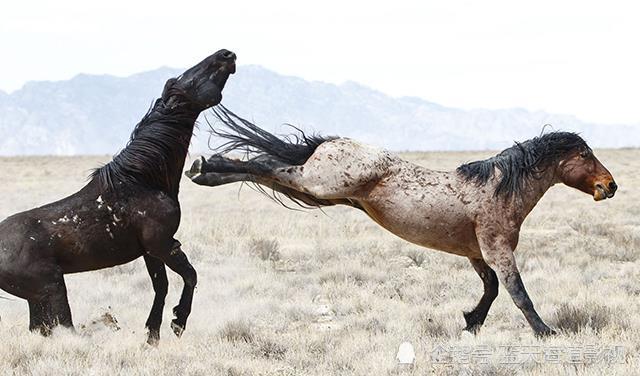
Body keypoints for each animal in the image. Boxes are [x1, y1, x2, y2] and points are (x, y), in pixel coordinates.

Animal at [0, 48, 238, 342]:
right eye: (190, 78)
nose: (226, 54)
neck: (142, 180)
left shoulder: (151, 251)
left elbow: (161, 287)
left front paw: (152, 335)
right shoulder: (163, 244)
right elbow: (190, 276)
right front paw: (178, 322)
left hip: (38, 298)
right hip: (52, 289)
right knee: (64, 328)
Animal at [185, 107, 616, 336]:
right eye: (585, 154)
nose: (609, 186)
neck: (499, 189)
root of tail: (333, 142)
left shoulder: (476, 253)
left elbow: (492, 289)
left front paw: (470, 323)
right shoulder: (498, 250)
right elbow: (518, 293)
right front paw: (545, 332)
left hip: (318, 192)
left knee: (265, 168)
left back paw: (204, 171)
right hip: (318, 183)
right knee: (268, 166)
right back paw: (203, 166)